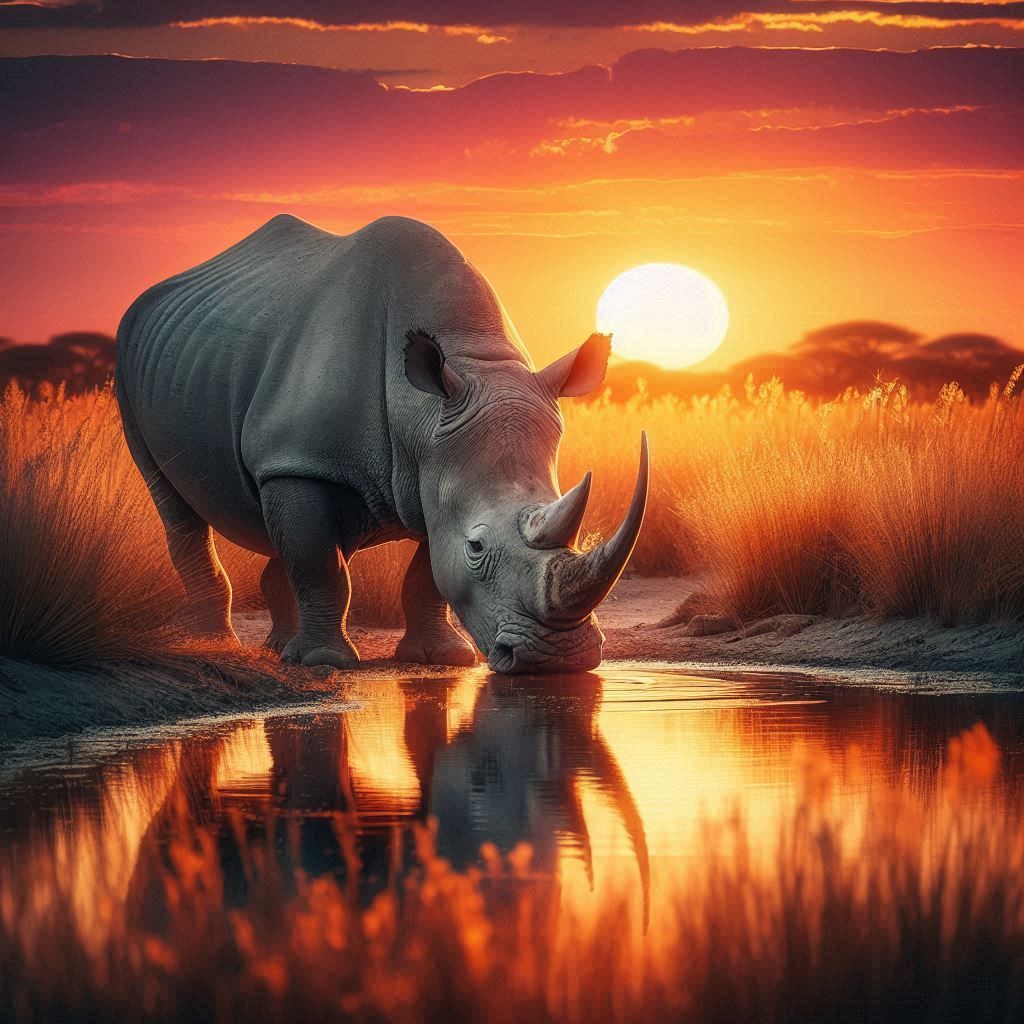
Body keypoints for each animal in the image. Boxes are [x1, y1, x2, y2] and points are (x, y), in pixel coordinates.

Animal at [115, 215, 648, 673]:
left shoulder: (434, 474)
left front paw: (441, 658)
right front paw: (324, 663)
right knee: (176, 504)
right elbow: (322, 566)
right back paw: (217, 645)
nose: (558, 658)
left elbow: (425, 574)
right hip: (131, 364)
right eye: (476, 546)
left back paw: (278, 649)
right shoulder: (300, 460)